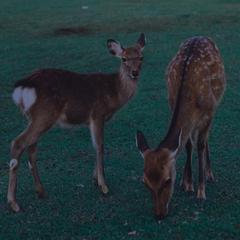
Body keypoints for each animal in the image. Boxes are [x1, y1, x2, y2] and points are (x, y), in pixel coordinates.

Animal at [8, 32, 145, 211]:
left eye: (141, 57)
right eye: (124, 59)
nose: (134, 72)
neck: (114, 93)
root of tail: (22, 88)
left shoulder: (94, 120)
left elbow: (96, 145)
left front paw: (95, 179)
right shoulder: (97, 114)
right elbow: (100, 145)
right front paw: (103, 186)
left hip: (32, 117)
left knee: (31, 148)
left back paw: (40, 191)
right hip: (44, 115)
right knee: (18, 143)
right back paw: (14, 203)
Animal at [136, 36, 226, 220]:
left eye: (167, 180)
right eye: (145, 182)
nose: (159, 215)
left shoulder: (209, 111)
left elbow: (200, 145)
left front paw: (201, 191)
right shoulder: (172, 104)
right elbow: (187, 144)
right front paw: (188, 183)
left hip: (215, 105)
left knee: (205, 139)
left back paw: (209, 173)